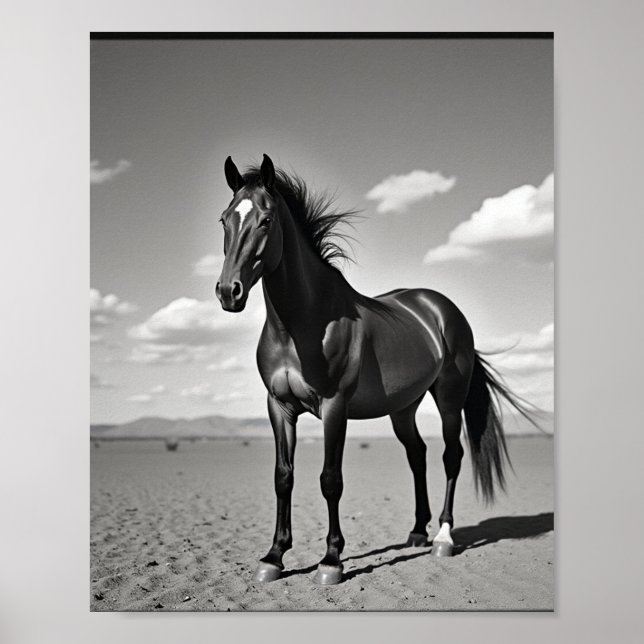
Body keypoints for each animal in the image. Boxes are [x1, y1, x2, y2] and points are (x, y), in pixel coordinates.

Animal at [215, 154, 533, 585]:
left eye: (266, 220)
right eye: (224, 219)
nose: (228, 292)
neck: (303, 323)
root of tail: (441, 309)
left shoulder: (334, 408)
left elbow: (330, 480)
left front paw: (331, 560)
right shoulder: (278, 407)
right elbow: (283, 477)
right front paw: (274, 557)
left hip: (450, 399)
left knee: (451, 456)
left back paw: (443, 538)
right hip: (403, 408)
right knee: (418, 455)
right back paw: (417, 531)